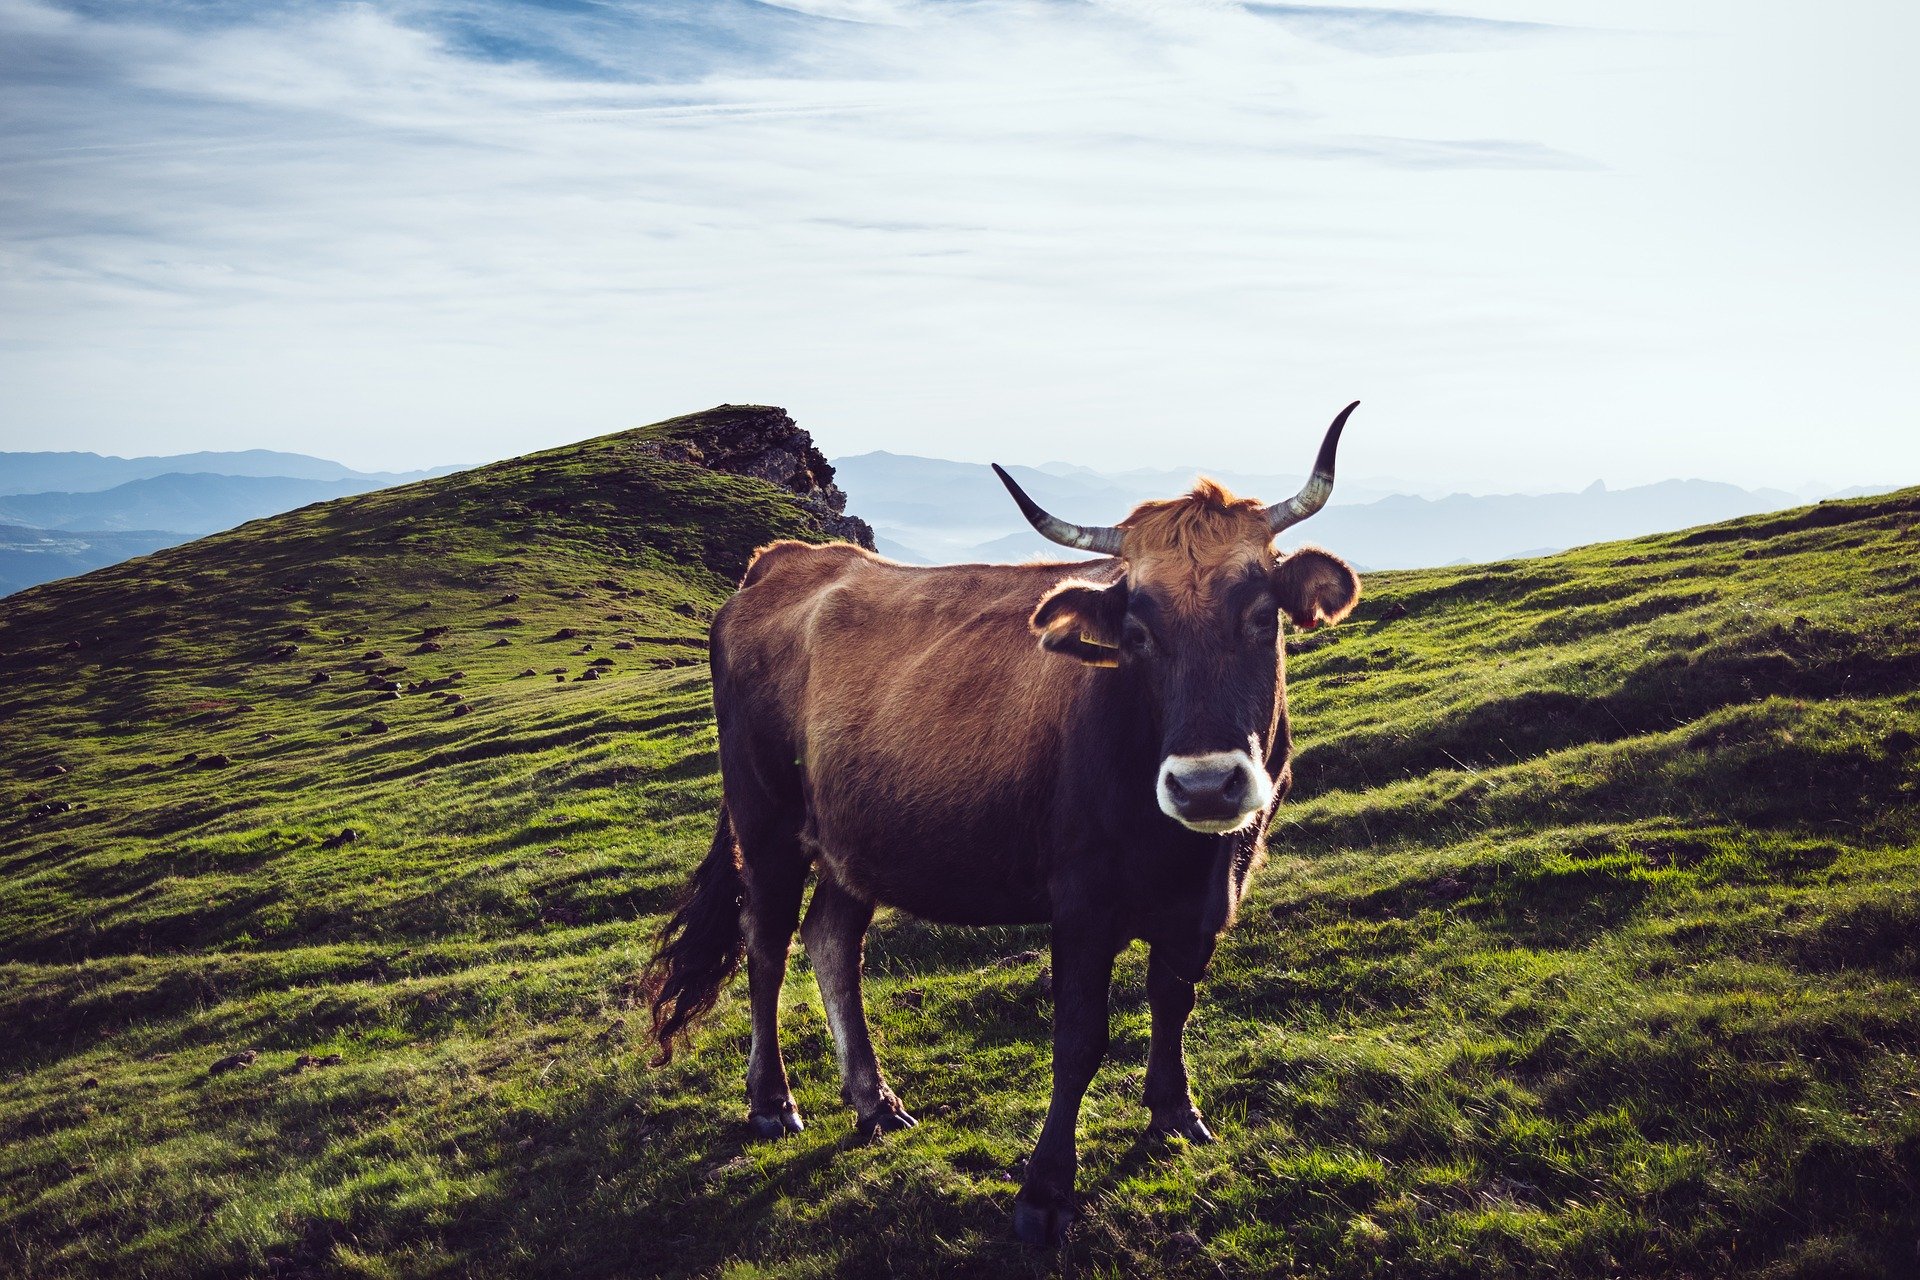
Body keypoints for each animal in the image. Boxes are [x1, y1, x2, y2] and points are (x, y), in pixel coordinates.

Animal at [645, 401, 1367, 1243]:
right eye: (1137, 633)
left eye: (1260, 616)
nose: (1205, 784)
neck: (1180, 853)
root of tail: (784, 561)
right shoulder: (1082, 900)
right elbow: (1079, 1038)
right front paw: (1045, 1190)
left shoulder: (1214, 892)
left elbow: (1174, 1001)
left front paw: (1175, 1114)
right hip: (765, 822)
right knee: (766, 946)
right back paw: (770, 1102)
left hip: (854, 836)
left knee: (830, 940)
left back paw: (873, 1100)